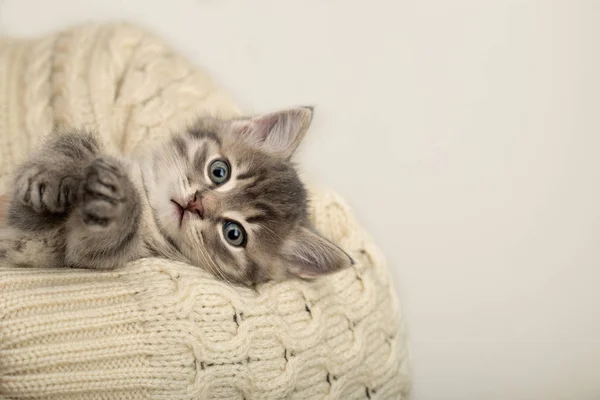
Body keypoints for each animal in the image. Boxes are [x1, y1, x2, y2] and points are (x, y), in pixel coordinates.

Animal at [0, 108, 354, 286]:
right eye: (219, 171)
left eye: (234, 234)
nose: (196, 204)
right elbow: (71, 146)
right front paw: (54, 174)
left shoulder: (92, 255)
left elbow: (98, 242)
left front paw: (120, 203)